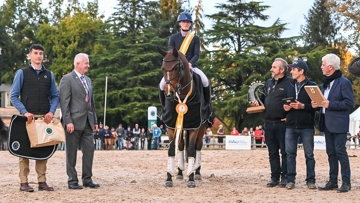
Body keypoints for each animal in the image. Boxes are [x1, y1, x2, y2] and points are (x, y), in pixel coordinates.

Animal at [158, 46, 211, 188]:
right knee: (181, 146)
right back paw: (180, 172)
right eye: (163, 68)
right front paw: (169, 178)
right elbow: (172, 149)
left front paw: (191, 178)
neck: (182, 95)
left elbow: (192, 150)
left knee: (198, 146)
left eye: (177, 67)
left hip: (202, 126)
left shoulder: (194, 125)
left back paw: (196, 172)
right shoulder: (171, 125)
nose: (169, 93)